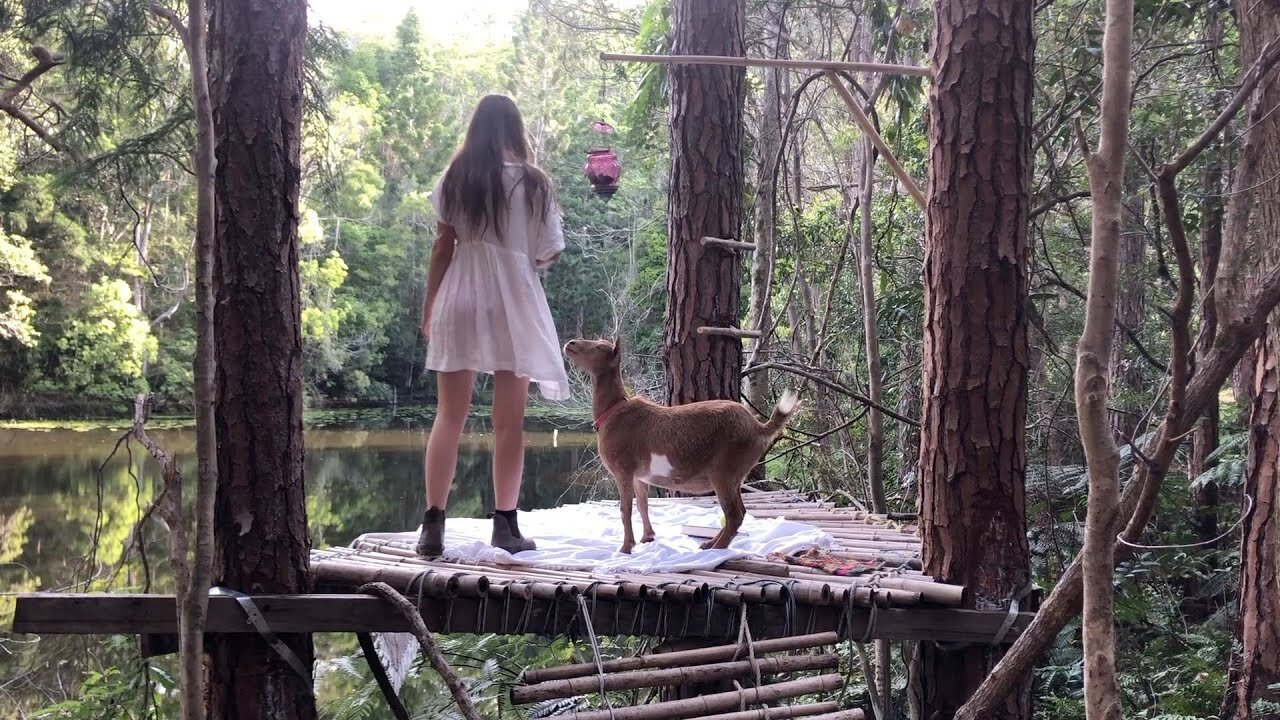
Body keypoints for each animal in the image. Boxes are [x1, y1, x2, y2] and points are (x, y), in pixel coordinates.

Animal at [563, 335, 793, 548]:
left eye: (601, 348)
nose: (570, 344)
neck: (613, 412)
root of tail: (758, 426)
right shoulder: (639, 476)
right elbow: (643, 504)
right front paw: (647, 538)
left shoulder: (623, 470)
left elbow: (625, 508)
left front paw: (626, 547)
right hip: (736, 475)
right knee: (739, 511)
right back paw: (710, 543)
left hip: (725, 469)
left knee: (734, 513)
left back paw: (717, 548)